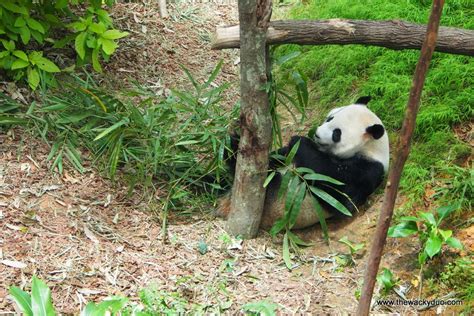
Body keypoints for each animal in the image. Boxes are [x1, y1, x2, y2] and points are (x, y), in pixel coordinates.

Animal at [218, 96, 388, 230]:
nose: (317, 134)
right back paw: (232, 145)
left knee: (273, 179)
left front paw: (300, 140)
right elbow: (281, 154)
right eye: (330, 118)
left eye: (337, 134)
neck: (371, 148)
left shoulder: (367, 171)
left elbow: (339, 190)